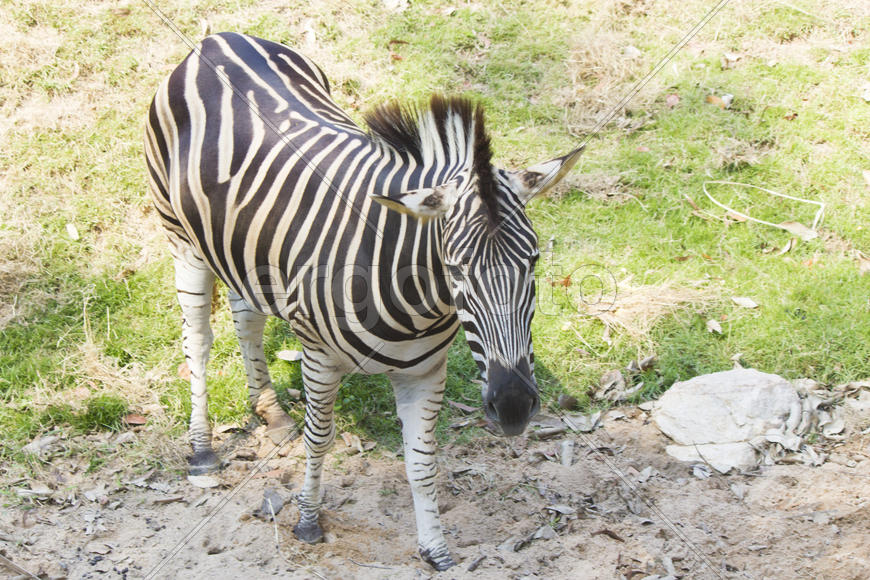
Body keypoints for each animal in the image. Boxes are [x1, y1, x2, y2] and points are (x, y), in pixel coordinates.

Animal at [144, 32, 583, 570]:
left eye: (534, 262)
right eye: (455, 269)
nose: (516, 406)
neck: (417, 303)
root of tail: (220, 38)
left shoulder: (424, 372)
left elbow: (422, 461)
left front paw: (435, 549)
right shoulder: (317, 356)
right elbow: (319, 439)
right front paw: (308, 522)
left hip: (244, 249)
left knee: (246, 317)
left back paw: (270, 411)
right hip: (181, 238)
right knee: (199, 342)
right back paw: (202, 448)